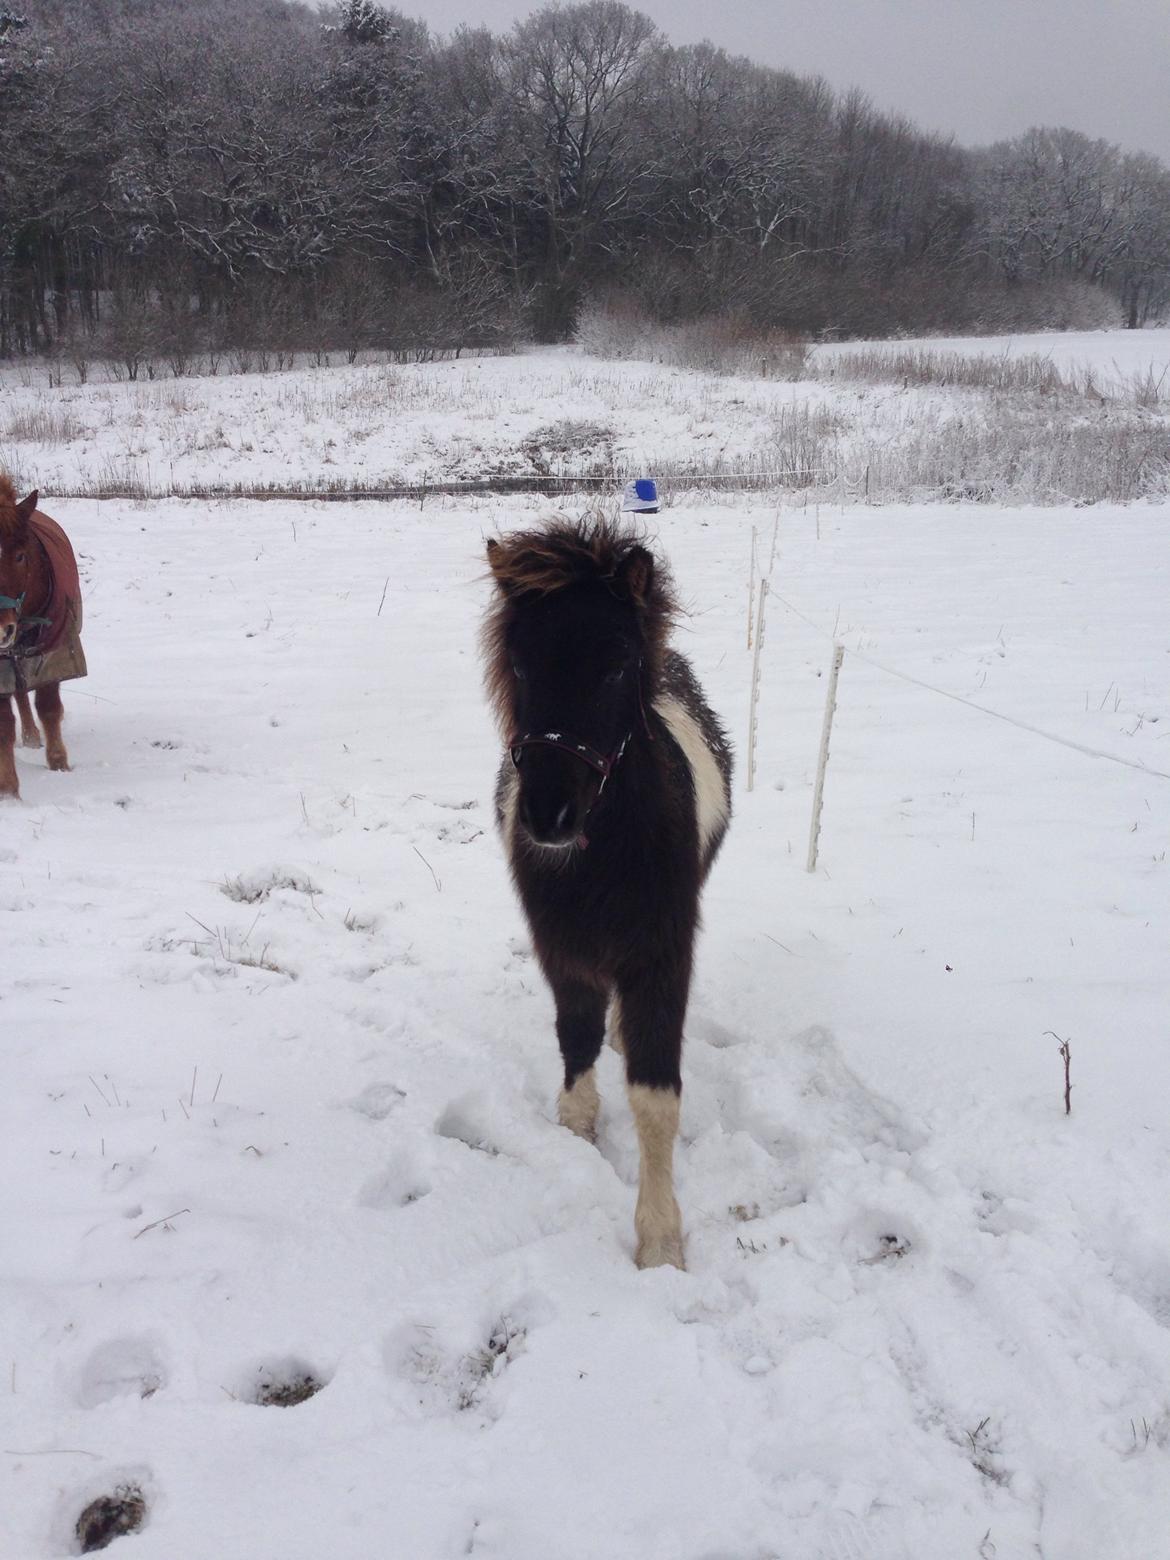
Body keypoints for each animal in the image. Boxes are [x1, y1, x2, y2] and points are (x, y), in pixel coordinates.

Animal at [0, 476, 86, 799]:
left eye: (20, 555)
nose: (2, 628)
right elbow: (3, 724)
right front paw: (9, 790)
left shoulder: (56, 651)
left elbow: (49, 708)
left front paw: (59, 765)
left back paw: (32, 735)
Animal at [483, 516, 732, 1269]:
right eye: (522, 664)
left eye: (617, 665)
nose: (548, 817)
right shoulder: (561, 947)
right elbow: (576, 1038)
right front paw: (575, 1127)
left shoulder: (662, 955)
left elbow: (655, 1095)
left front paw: (660, 1241)